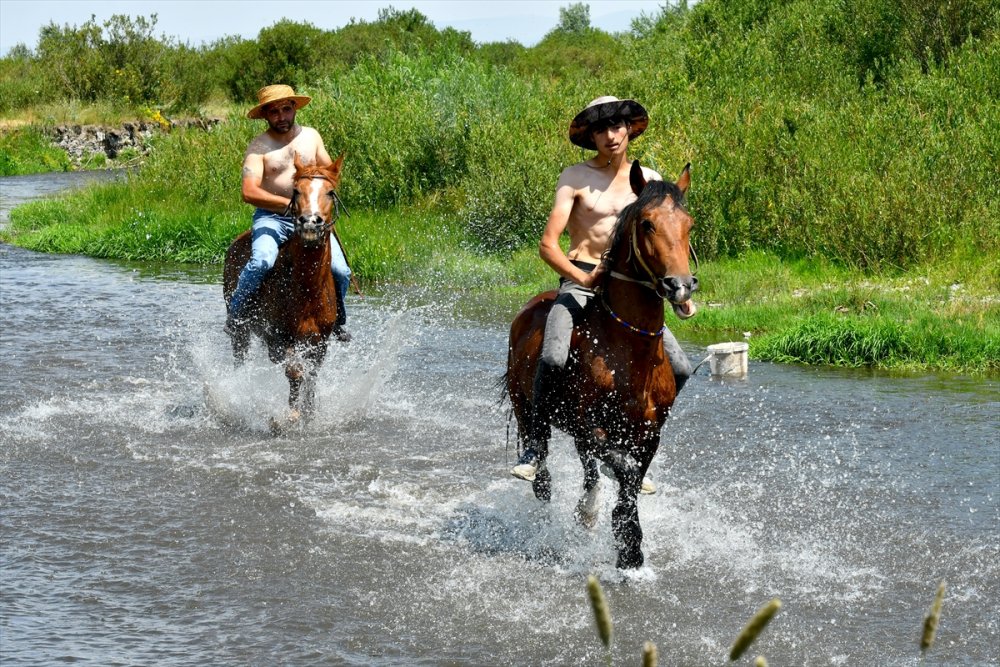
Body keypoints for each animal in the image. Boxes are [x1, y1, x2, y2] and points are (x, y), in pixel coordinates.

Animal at [508, 162, 696, 568]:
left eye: (688, 223)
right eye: (647, 224)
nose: (681, 286)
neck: (628, 352)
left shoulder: (649, 433)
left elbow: (631, 477)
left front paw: (629, 548)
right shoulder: (587, 425)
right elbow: (622, 470)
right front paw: (626, 540)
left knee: (590, 471)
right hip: (525, 406)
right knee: (541, 459)